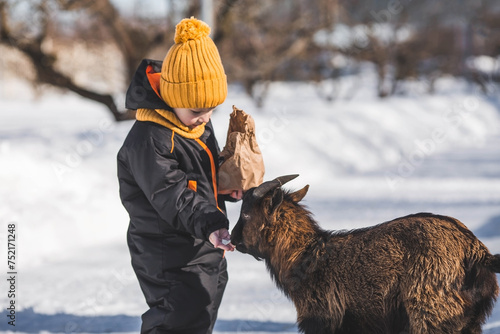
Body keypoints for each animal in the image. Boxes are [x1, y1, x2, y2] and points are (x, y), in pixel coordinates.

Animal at [230, 175, 500, 334]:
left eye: (245, 214)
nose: (233, 238)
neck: (308, 255)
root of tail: (476, 252)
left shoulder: (322, 318)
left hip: (431, 313)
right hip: (468, 321)